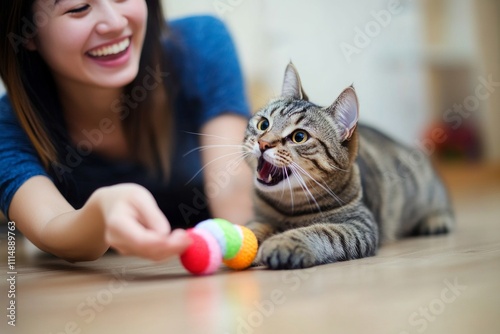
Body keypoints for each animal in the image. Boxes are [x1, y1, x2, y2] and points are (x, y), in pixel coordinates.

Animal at [244, 64, 456, 270]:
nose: (263, 143)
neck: (289, 206)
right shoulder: (261, 217)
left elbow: (322, 232)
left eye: (299, 137)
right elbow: (253, 228)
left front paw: (283, 242)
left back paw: (436, 219)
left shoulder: (360, 225)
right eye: (264, 124)